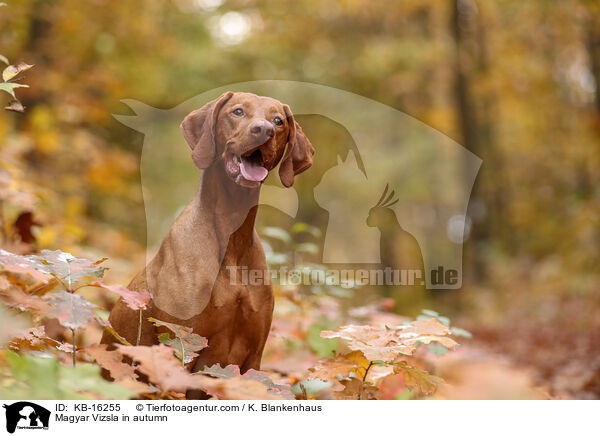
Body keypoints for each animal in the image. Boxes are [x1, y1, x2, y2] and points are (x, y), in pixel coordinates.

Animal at [101, 92, 314, 396]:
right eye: (238, 112)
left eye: (278, 121)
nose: (264, 130)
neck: (233, 238)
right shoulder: (179, 348)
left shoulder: (253, 359)